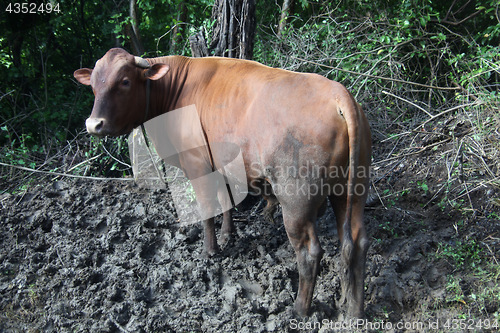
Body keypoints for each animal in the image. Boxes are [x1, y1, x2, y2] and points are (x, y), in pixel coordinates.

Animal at [73, 47, 372, 316]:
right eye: (94, 86)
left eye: (124, 81)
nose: (93, 124)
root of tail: (338, 93)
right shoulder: (221, 163)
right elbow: (225, 199)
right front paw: (228, 234)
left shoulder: (197, 164)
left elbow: (207, 209)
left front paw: (210, 250)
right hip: (352, 190)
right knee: (356, 243)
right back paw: (353, 310)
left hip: (296, 199)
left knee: (309, 252)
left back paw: (300, 310)